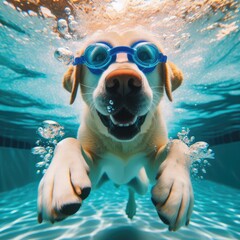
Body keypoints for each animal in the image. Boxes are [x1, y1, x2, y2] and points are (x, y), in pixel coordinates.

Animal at [38, 28, 195, 231]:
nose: (123, 81)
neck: (123, 145)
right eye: (98, 57)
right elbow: (67, 141)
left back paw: (131, 207)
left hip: (142, 184)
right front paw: (59, 177)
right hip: (99, 183)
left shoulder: (152, 165)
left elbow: (179, 145)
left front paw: (178, 186)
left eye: (145, 55)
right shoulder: (94, 170)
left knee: (132, 189)